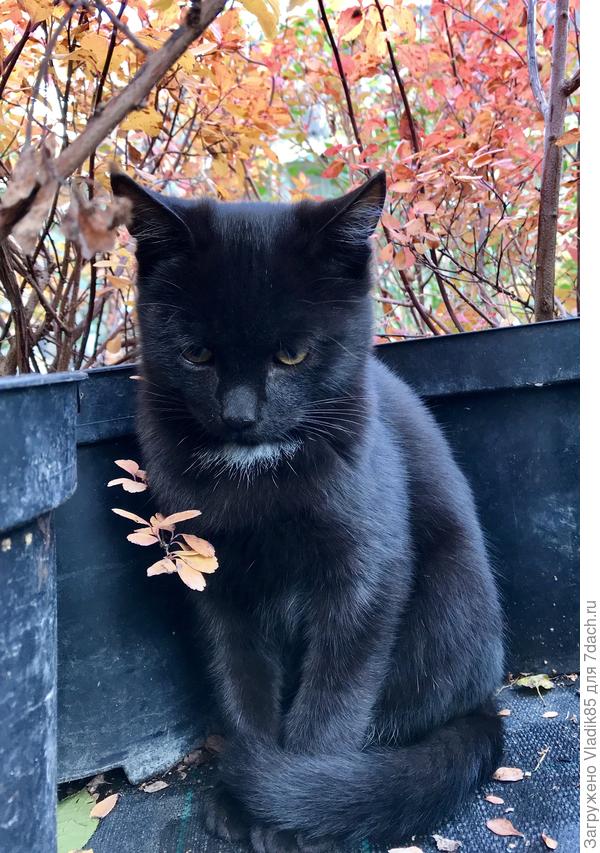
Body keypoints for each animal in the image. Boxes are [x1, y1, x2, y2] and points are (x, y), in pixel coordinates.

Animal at [111, 170, 504, 853]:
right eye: (196, 354)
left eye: (292, 356)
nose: (240, 416)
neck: (256, 476)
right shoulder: (214, 579)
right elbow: (241, 681)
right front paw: (242, 797)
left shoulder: (368, 574)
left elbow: (335, 694)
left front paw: (289, 807)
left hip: (448, 607)